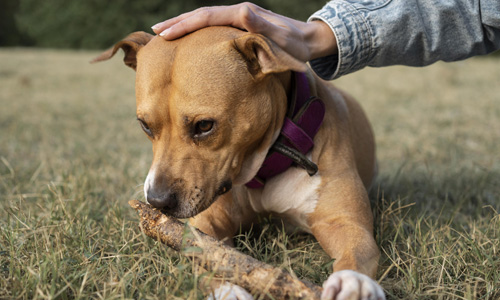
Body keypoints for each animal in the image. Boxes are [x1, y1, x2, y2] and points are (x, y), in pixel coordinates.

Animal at [93, 27, 382, 298]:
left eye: (204, 125)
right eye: (145, 125)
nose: (157, 201)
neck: (262, 169)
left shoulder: (344, 223)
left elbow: (355, 251)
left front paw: (353, 283)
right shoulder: (204, 224)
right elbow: (204, 254)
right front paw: (227, 291)